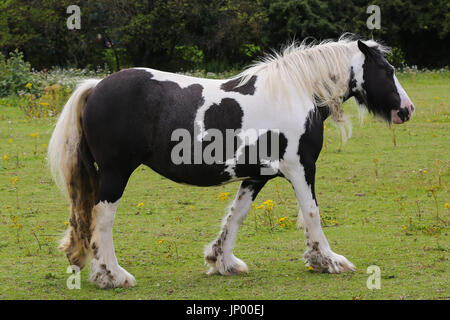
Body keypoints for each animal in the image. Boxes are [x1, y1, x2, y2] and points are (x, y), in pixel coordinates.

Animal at [47, 36, 414, 288]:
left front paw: (222, 261)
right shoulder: (301, 167)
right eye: (388, 70)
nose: (407, 110)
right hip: (115, 174)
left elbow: (236, 215)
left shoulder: (257, 175)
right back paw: (113, 275)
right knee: (102, 220)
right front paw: (329, 260)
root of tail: (96, 88)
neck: (296, 94)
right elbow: (312, 213)